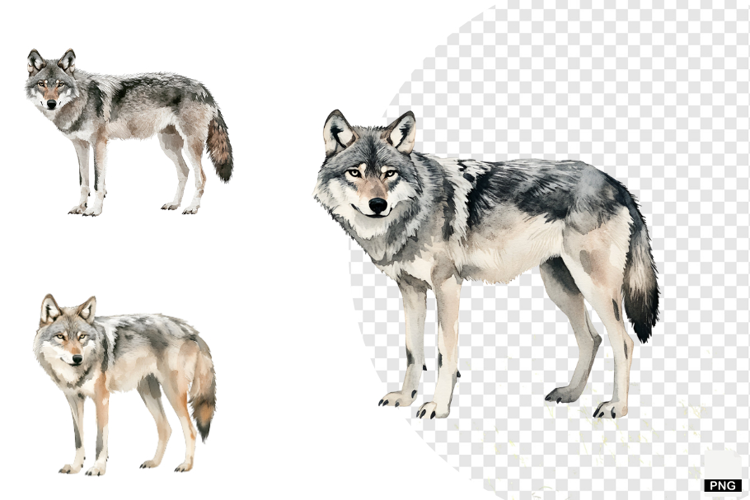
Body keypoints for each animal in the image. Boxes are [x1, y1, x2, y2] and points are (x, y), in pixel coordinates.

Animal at [25, 49, 233, 216]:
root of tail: (204, 89)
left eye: (60, 84)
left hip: (190, 145)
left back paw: (192, 208)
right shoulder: (80, 145)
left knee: (201, 177)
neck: (81, 100)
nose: (51, 103)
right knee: (184, 171)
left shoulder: (99, 143)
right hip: (168, 146)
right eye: (42, 84)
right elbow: (84, 182)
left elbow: (98, 182)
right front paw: (80, 207)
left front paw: (95, 210)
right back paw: (174, 204)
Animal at [33, 295, 217, 475]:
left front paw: (98, 468)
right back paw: (154, 463)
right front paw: (75, 467)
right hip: (147, 393)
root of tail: (189, 329)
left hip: (172, 392)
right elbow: (79, 439)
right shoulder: (74, 399)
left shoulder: (102, 398)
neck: (77, 373)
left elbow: (100, 439)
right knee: (165, 428)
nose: (77, 358)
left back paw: (186, 465)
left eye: (82, 336)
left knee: (191, 430)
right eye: (60, 336)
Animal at [314, 110, 659, 420]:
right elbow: (413, 351)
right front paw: (406, 397)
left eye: (389, 173)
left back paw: (617, 407)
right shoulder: (410, 290)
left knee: (624, 342)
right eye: (355, 173)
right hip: (560, 288)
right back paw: (571, 393)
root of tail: (617, 185)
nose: (378, 204)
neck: (414, 213)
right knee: (592, 338)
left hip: (594, 287)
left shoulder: (447, 286)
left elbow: (443, 353)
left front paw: (438, 407)